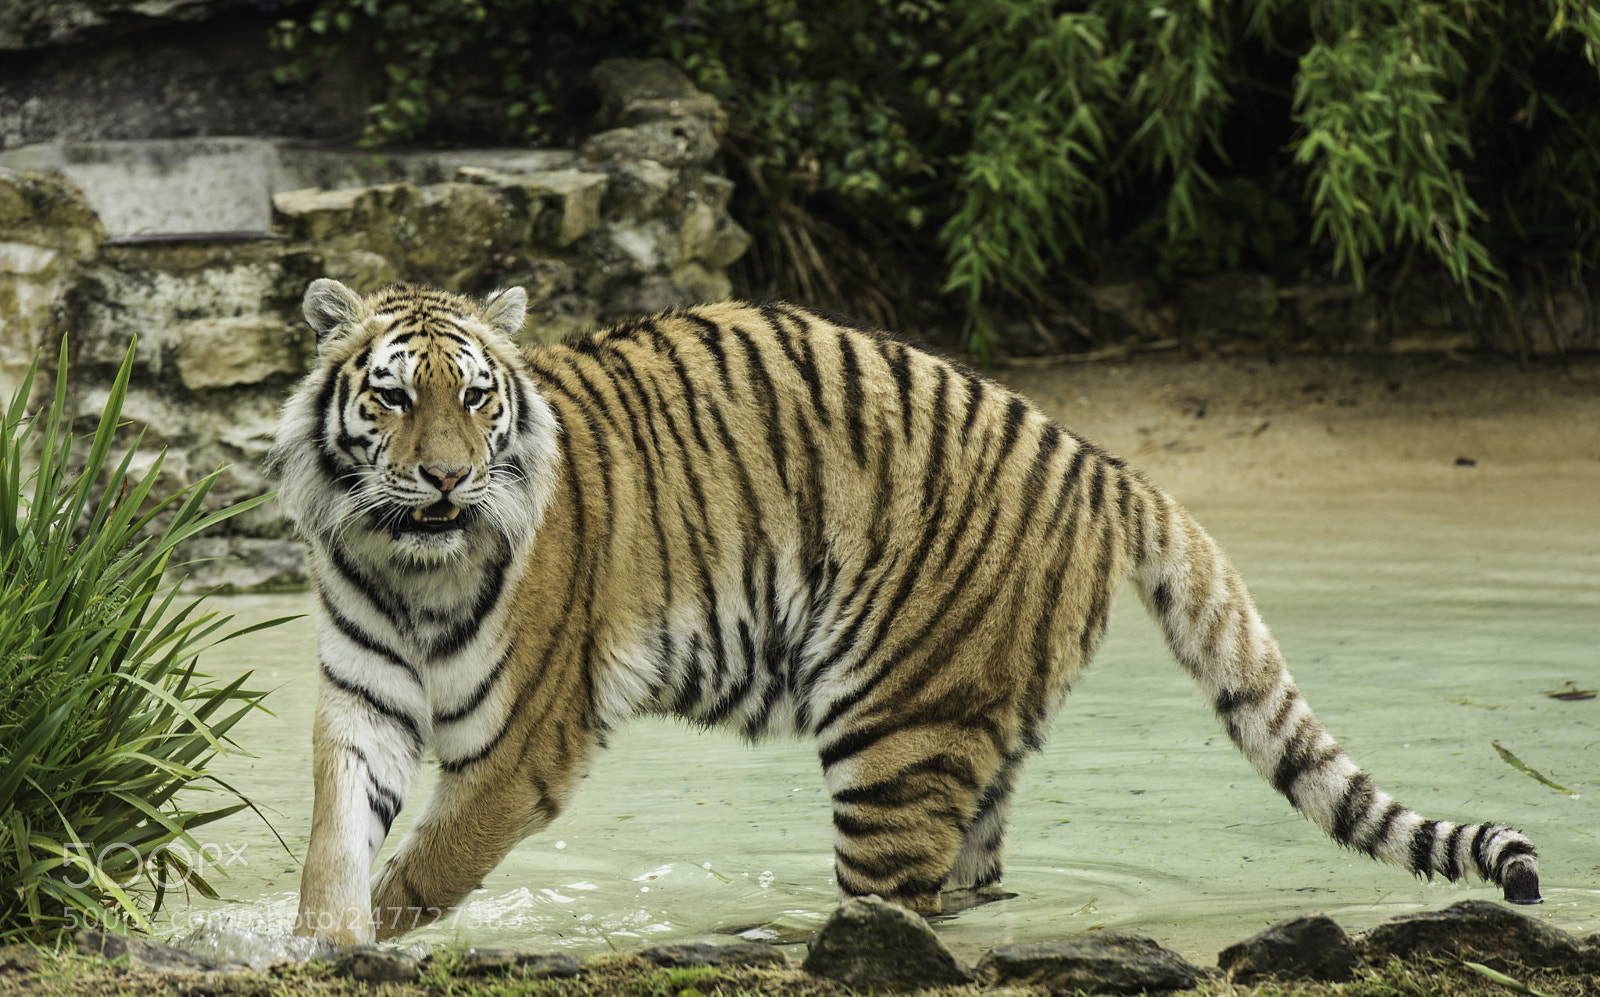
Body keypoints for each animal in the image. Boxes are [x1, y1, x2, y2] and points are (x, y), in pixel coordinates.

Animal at [266, 278, 1541, 946]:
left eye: (478, 399)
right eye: (394, 398)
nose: (445, 478)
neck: (408, 561)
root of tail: (1102, 464)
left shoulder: (530, 735)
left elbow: (430, 863)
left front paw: (369, 937)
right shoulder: (363, 701)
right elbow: (336, 837)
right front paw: (316, 942)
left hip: (897, 727)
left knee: (893, 901)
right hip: (978, 733)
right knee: (970, 880)